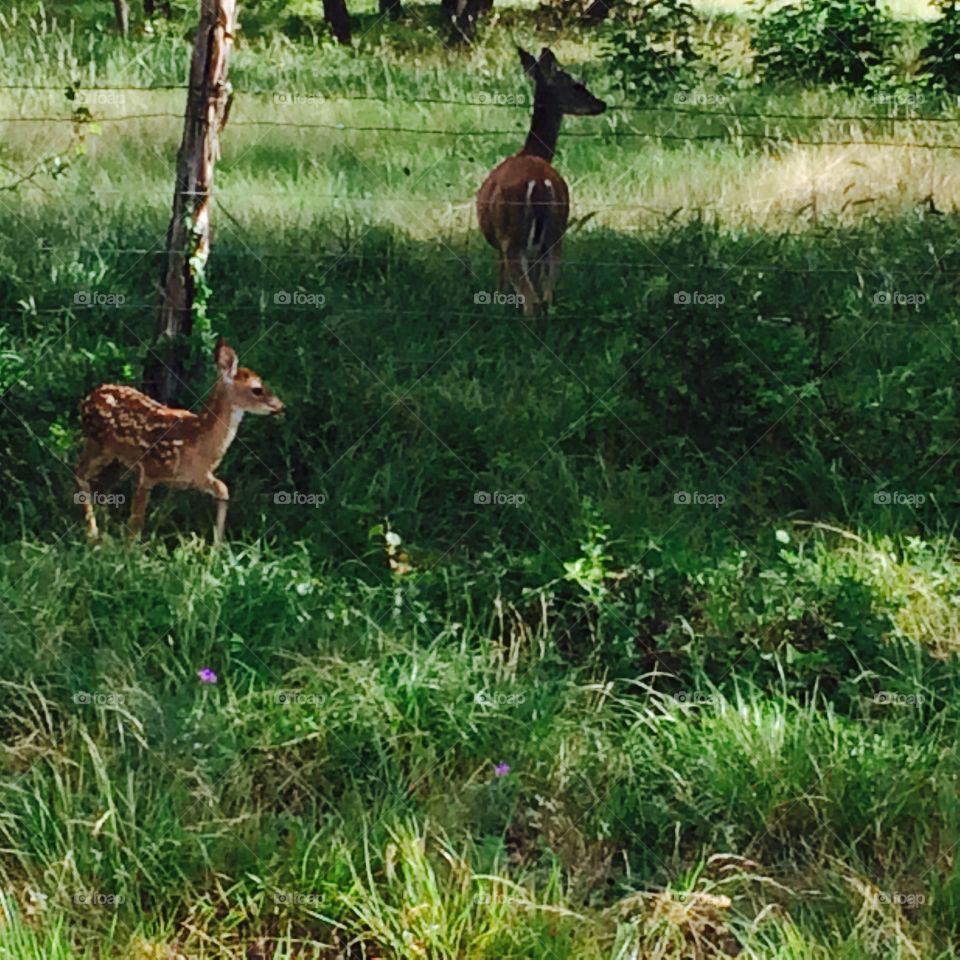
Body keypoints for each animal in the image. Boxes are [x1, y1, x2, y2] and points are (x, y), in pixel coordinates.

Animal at [75, 338, 284, 544]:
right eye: (257, 389)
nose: (281, 406)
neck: (197, 442)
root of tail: (89, 397)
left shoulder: (198, 477)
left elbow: (223, 490)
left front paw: (218, 545)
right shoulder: (149, 470)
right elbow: (136, 521)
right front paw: (130, 549)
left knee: (102, 485)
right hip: (98, 444)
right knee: (80, 473)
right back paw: (93, 532)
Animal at [476, 47, 606, 316]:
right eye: (576, 85)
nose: (601, 104)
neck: (531, 151)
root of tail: (538, 186)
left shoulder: (502, 245)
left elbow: (501, 283)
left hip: (513, 238)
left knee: (531, 299)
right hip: (555, 234)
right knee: (546, 294)